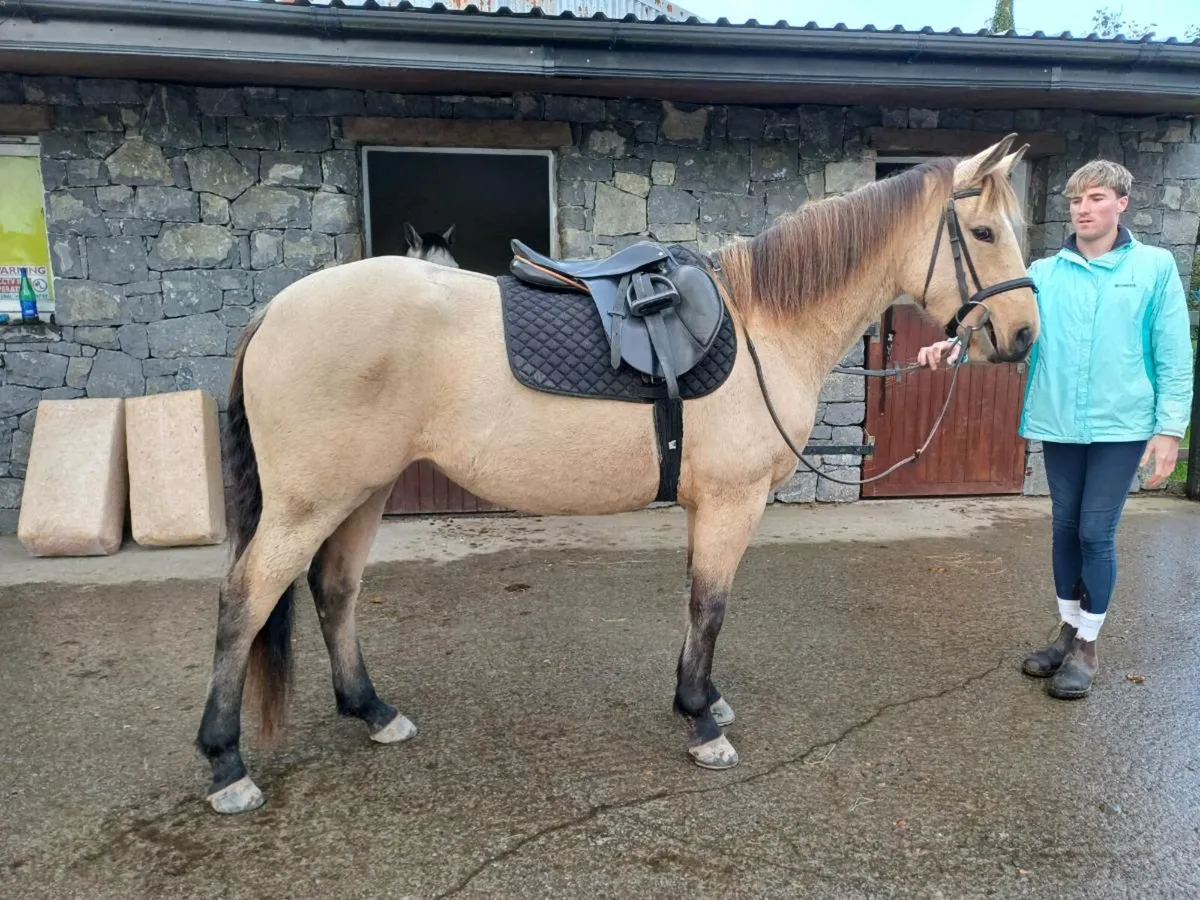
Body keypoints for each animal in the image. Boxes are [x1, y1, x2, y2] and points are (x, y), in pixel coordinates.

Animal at [196, 134, 1039, 814]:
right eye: (984, 231)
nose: (1023, 335)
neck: (764, 326)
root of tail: (276, 310)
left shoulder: (707, 505)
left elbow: (698, 602)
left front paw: (700, 700)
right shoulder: (732, 503)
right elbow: (711, 606)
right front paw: (701, 721)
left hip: (363, 492)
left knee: (334, 590)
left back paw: (373, 711)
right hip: (310, 502)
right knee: (243, 602)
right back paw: (226, 765)